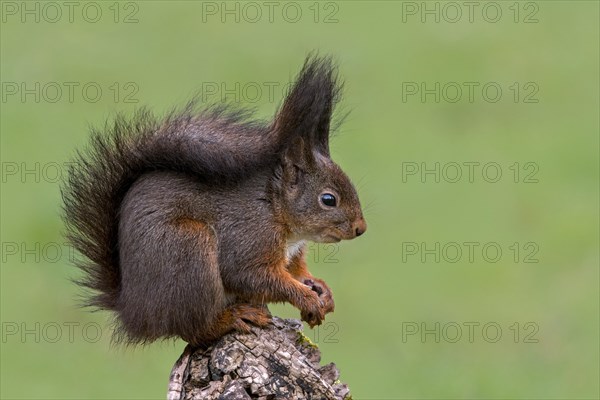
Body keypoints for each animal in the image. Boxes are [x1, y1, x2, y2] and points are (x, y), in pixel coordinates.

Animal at [64, 54, 366, 346]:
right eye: (328, 199)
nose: (360, 229)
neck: (274, 207)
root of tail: (134, 313)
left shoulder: (290, 254)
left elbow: (295, 270)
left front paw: (321, 290)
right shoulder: (249, 236)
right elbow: (251, 276)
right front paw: (306, 297)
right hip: (189, 249)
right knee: (195, 330)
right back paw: (232, 318)